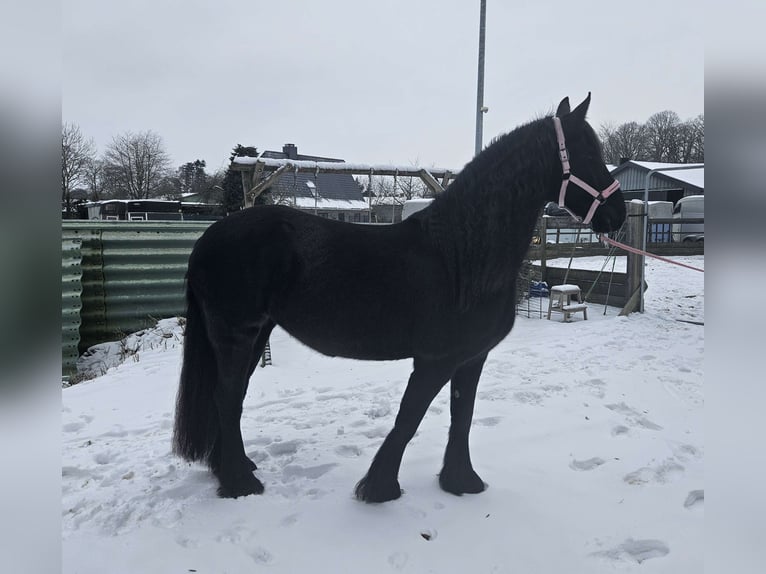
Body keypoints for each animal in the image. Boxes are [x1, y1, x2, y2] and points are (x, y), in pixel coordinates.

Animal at [173, 94, 626, 502]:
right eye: (587, 153)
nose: (618, 214)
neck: (461, 255)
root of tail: (207, 240)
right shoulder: (434, 360)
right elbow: (409, 419)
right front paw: (380, 489)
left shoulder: (471, 358)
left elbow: (462, 417)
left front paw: (461, 482)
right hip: (237, 335)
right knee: (226, 398)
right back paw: (239, 484)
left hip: (254, 335)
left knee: (231, 398)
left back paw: (236, 469)